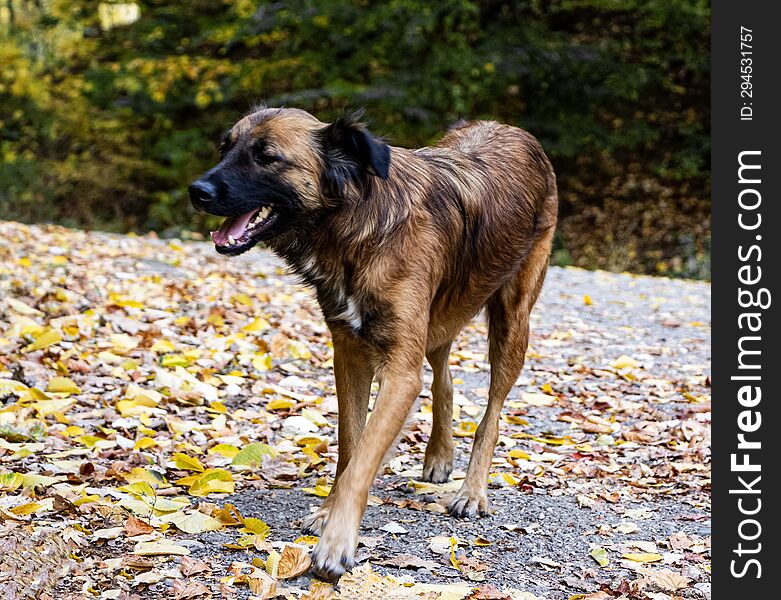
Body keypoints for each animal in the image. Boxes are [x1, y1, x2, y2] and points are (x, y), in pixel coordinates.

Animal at [188, 105, 556, 580]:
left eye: (267, 157)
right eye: (225, 147)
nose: (196, 191)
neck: (356, 223)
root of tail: (512, 129)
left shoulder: (399, 370)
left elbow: (363, 456)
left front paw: (336, 541)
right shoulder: (349, 353)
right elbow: (350, 445)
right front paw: (329, 513)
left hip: (512, 320)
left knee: (490, 414)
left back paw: (473, 491)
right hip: (439, 319)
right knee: (443, 377)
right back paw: (439, 454)